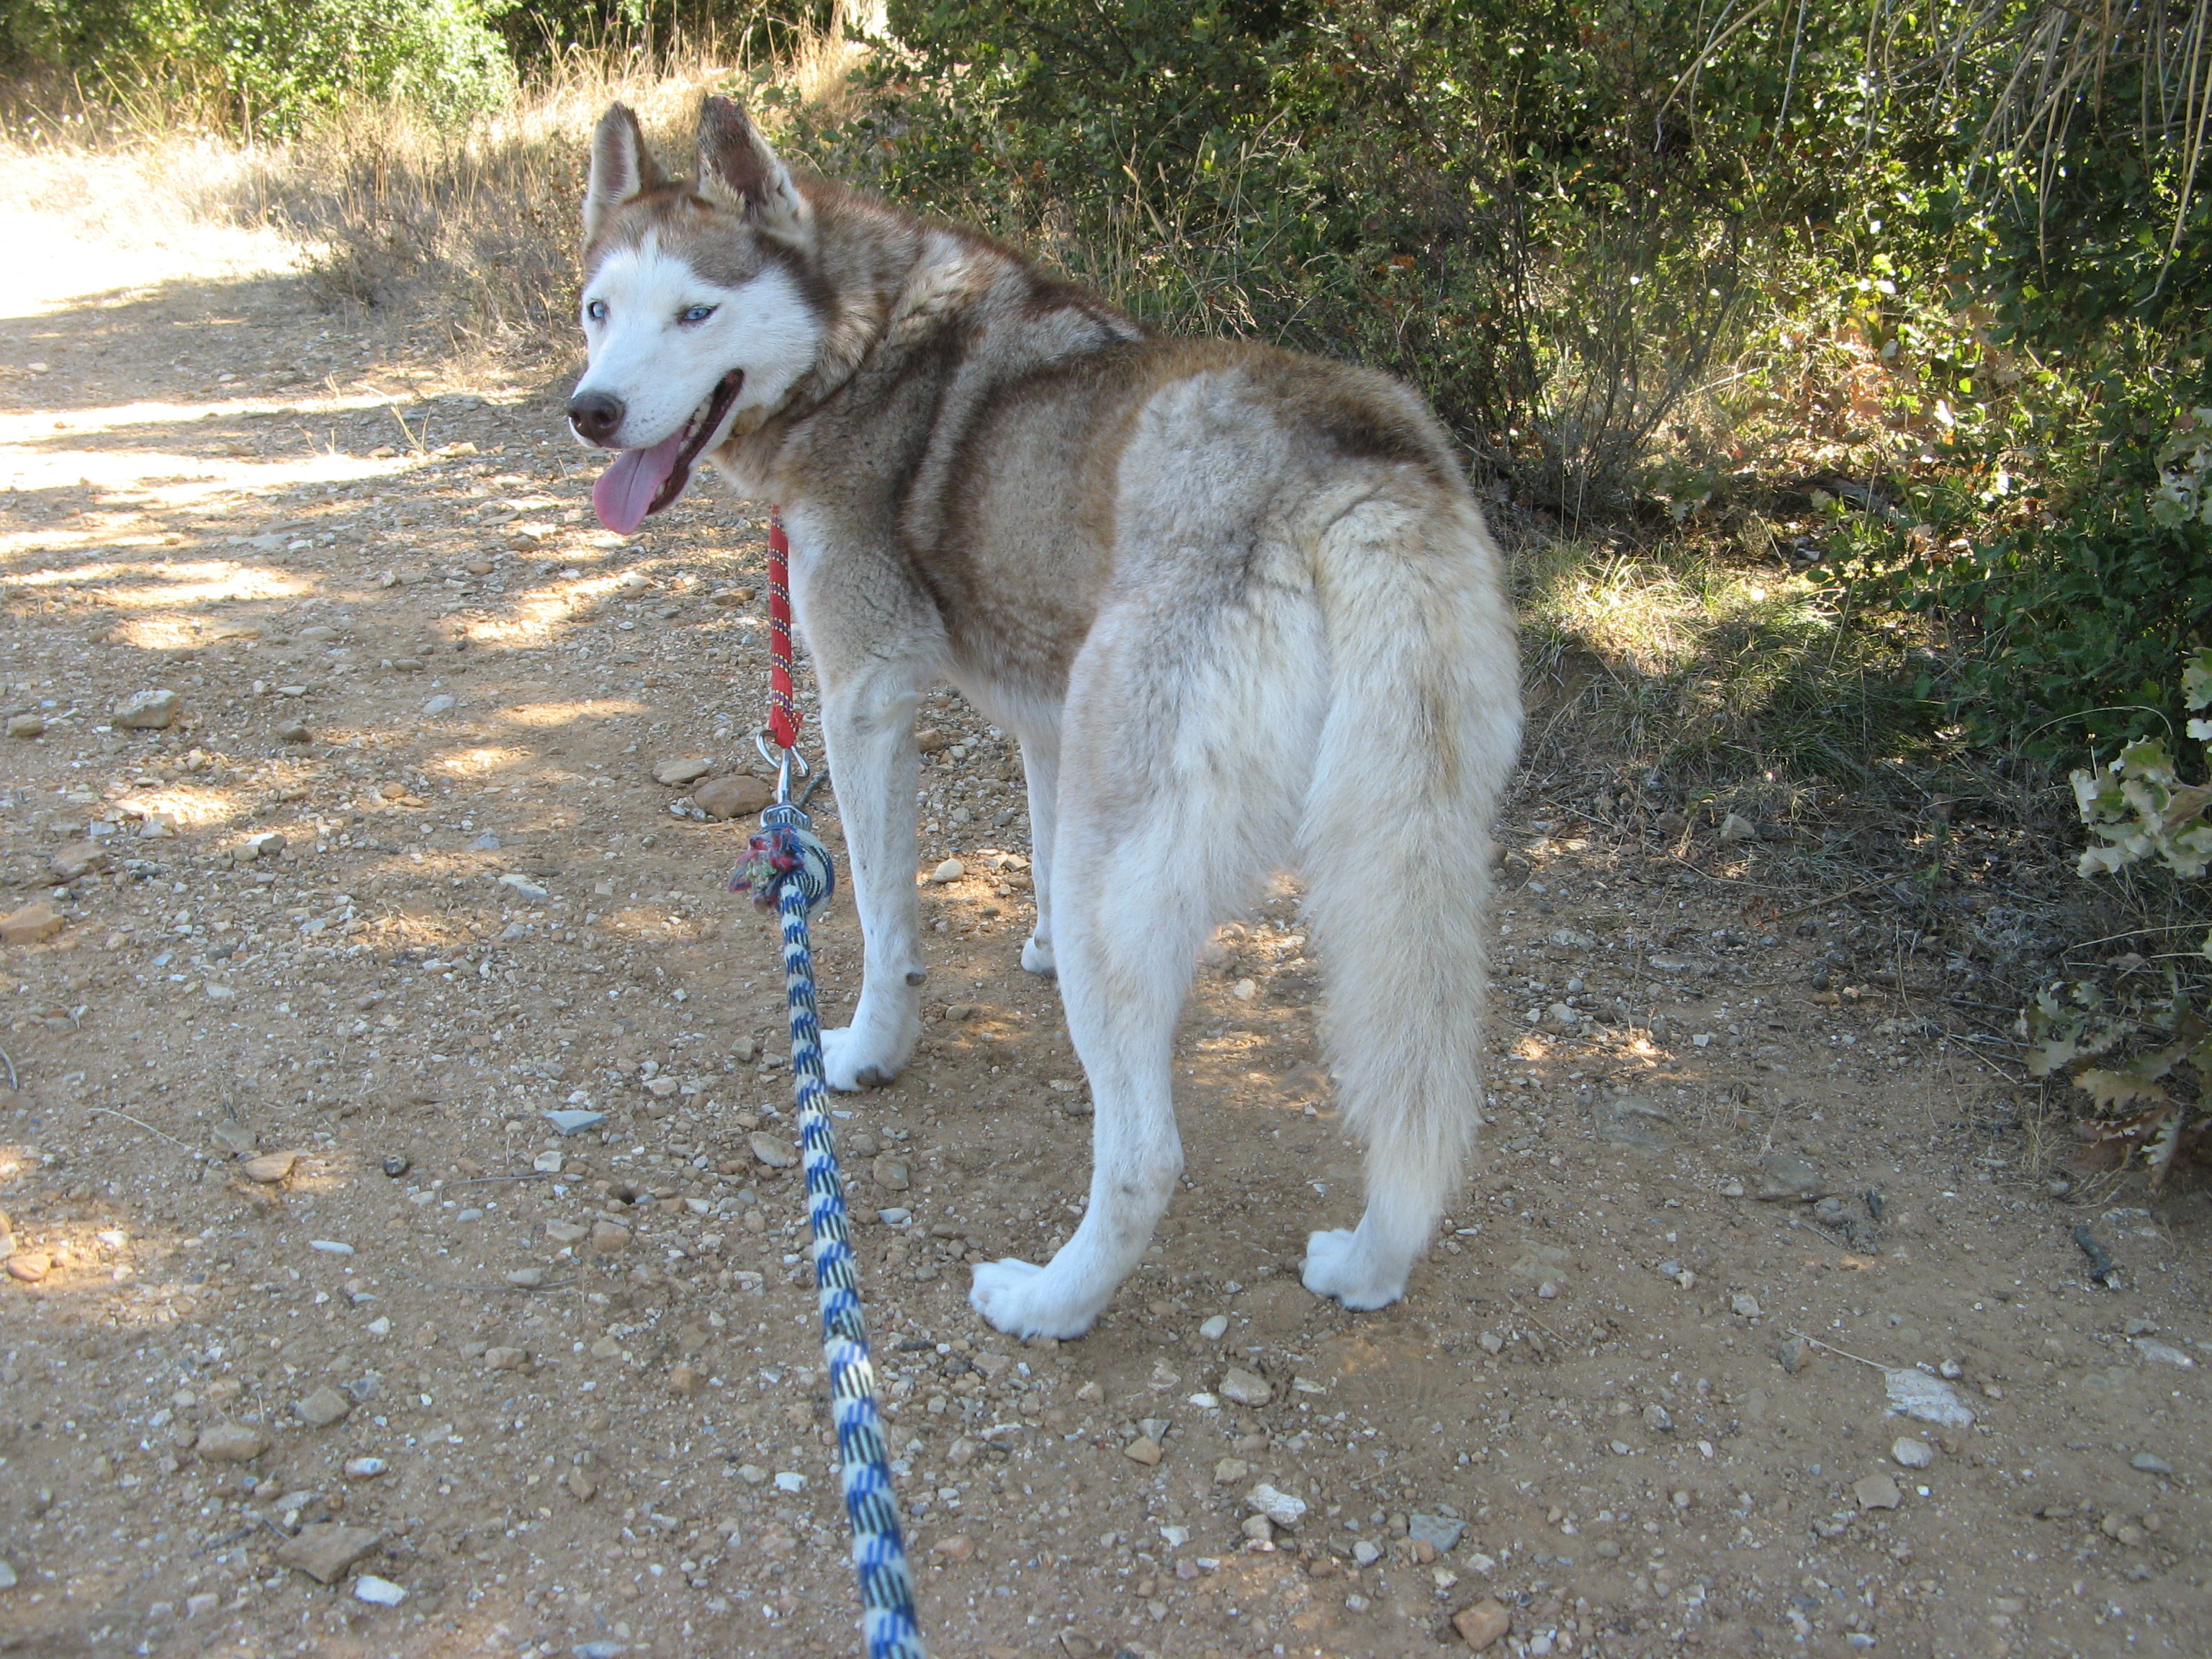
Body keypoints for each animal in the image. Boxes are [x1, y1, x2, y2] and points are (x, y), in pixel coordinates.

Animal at [566, 97, 1521, 1344]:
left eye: (696, 311)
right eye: (599, 309)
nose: (591, 411)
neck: (868, 343)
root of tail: (1353, 464)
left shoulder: (863, 702)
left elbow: (885, 927)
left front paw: (867, 1053)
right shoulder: (1051, 724)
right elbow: (1031, 843)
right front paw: (1034, 952)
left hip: (1124, 879)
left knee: (1146, 1158)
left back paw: (1048, 1302)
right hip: (1403, 851)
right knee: (1418, 1110)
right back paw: (1368, 1263)